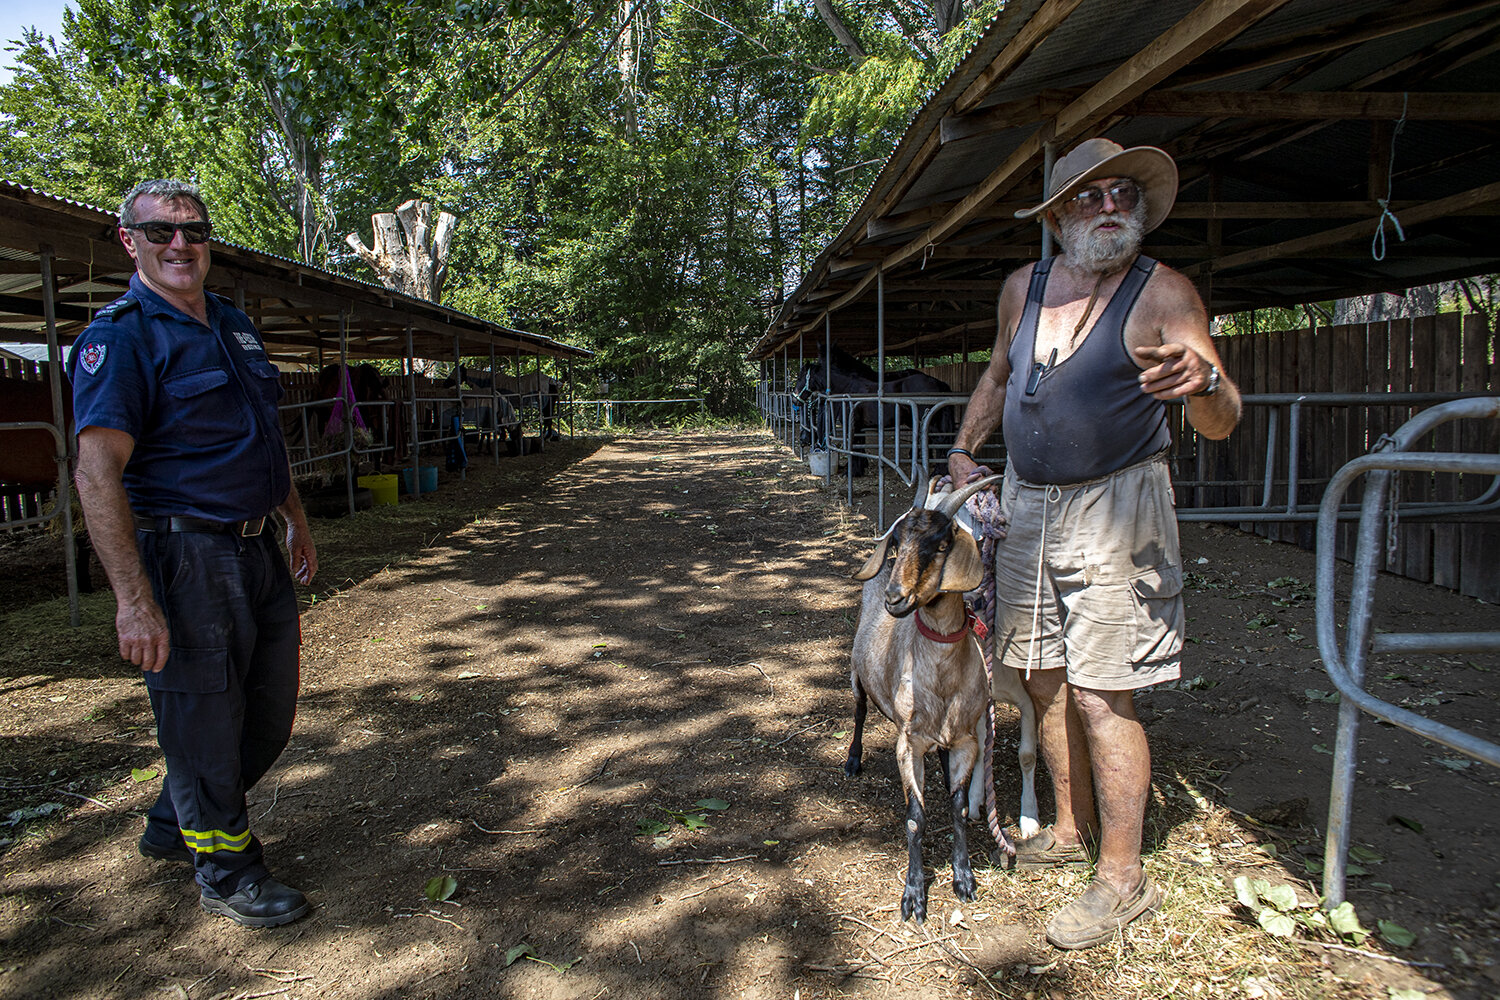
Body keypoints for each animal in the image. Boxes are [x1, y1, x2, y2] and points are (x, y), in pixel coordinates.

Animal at [792, 347, 954, 476]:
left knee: (941, 442)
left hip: (930, 421)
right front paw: (858, 470)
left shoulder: (852, 426)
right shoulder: (859, 427)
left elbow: (854, 447)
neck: (847, 388)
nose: (794, 399)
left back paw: (937, 472)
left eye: (800, 377)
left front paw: (851, 472)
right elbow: (858, 447)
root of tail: (938, 383)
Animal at [852, 476, 1014, 923]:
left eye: (941, 545)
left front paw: (964, 878)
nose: (895, 597)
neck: (940, 680)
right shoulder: (909, 743)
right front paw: (913, 894)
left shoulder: (967, 740)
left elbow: (959, 809)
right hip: (856, 672)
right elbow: (915, 817)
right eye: (897, 543)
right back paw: (852, 759)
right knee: (859, 710)